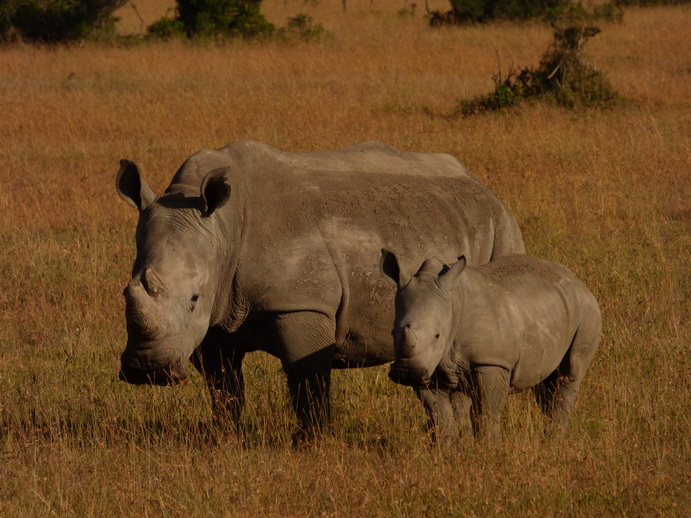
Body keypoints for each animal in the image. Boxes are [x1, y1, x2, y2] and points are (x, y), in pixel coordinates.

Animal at [115, 140, 525, 439]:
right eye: (125, 291)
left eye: (192, 299)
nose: (146, 369)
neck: (223, 228)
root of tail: (483, 186)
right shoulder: (216, 316)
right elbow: (224, 386)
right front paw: (222, 437)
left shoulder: (300, 304)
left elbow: (307, 379)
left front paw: (311, 443)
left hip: (500, 230)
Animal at [380, 251, 601, 440]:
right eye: (392, 333)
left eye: (437, 335)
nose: (407, 372)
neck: (453, 301)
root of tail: (577, 280)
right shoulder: (429, 365)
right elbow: (439, 414)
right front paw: (446, 450)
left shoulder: (491, 361)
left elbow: (487, 411)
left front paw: (488, 448)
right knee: (544, 382)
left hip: (587, 310)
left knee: (569, 374)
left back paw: (554, 441)